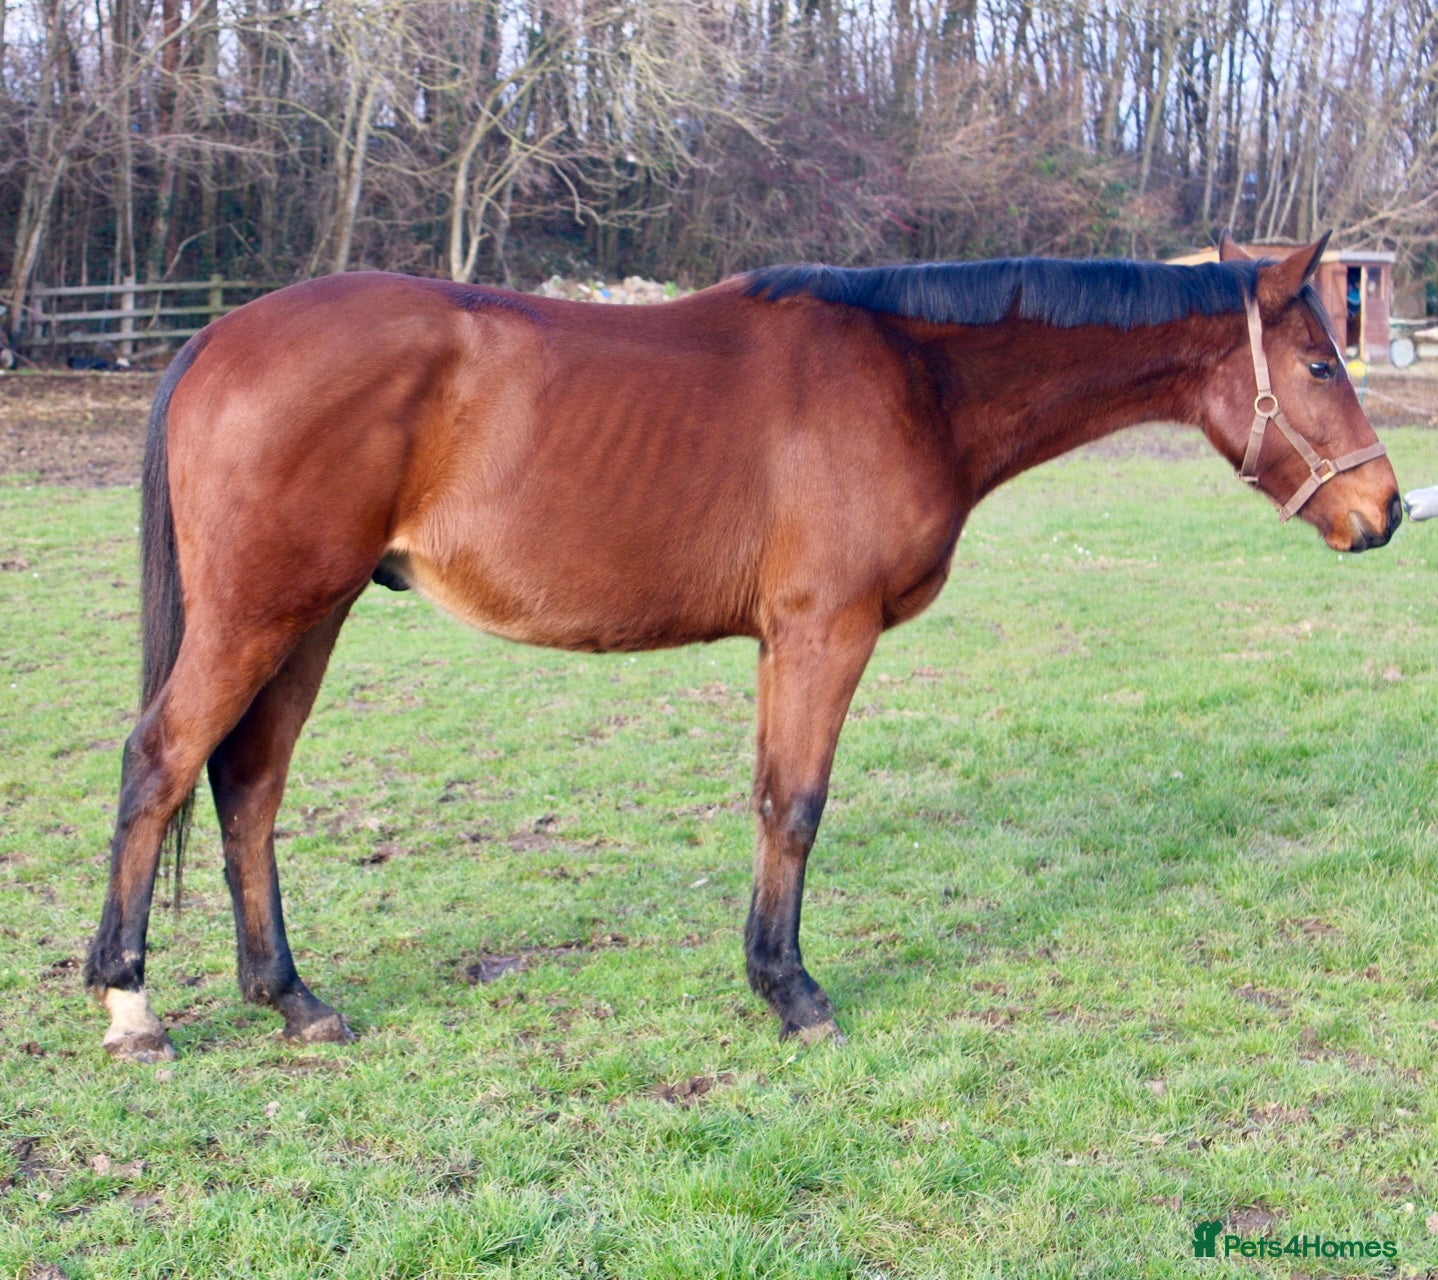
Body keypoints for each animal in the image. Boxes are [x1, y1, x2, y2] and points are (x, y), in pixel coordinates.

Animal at [84, 233, 1400, 1062]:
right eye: (1319, 360)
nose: (1384, 509)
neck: (912, 374)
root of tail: (217, 338)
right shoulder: (825, 629)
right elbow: (797, 806)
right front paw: (794, 993)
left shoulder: (785, 640)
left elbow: (772, 799)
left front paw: (770, 977)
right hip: (263, 611)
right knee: (161, 762)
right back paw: (132, 1004)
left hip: (312, 616)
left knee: (248, 784)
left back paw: (291, 997)